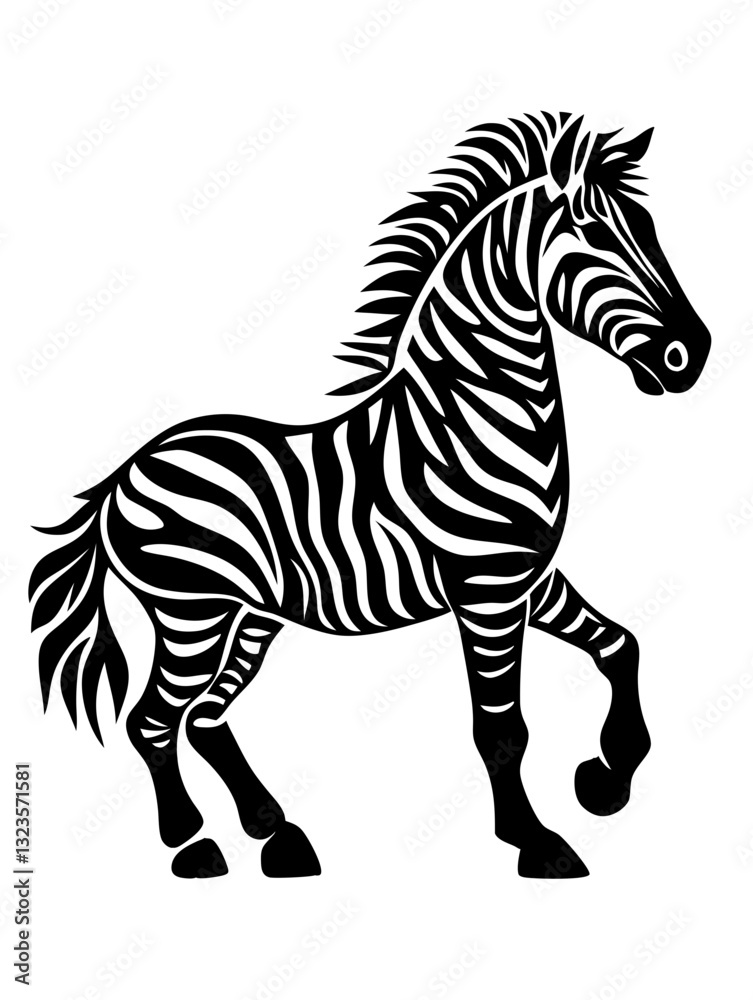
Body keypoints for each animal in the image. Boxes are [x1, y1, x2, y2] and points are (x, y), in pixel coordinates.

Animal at [31, 113, 710, 880]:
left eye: (649, 227)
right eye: (593, 234)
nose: (692, 355)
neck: (468, 414)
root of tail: (125, 472)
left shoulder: (525, 577)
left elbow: (620, 645)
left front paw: (606, 776)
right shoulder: (485, 591)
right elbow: (501, 729)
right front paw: (535, 841)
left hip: (249, 617)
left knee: (204, 718)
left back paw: (277, 835)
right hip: (189, 611)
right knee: (152, 721)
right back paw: (194, 844)